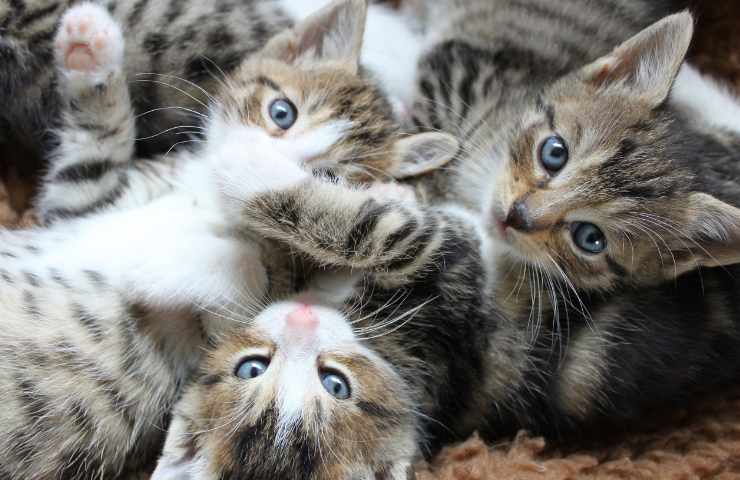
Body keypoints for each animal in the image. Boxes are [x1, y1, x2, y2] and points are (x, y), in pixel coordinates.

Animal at [0, 1, 456, 478]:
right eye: (282, 112)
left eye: (328, 175)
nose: (268, 156)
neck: (209, 194)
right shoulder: (80, 203)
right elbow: (94, 151)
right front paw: (90, 52)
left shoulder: (227, 330)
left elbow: (254, 279)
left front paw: (156, 264)